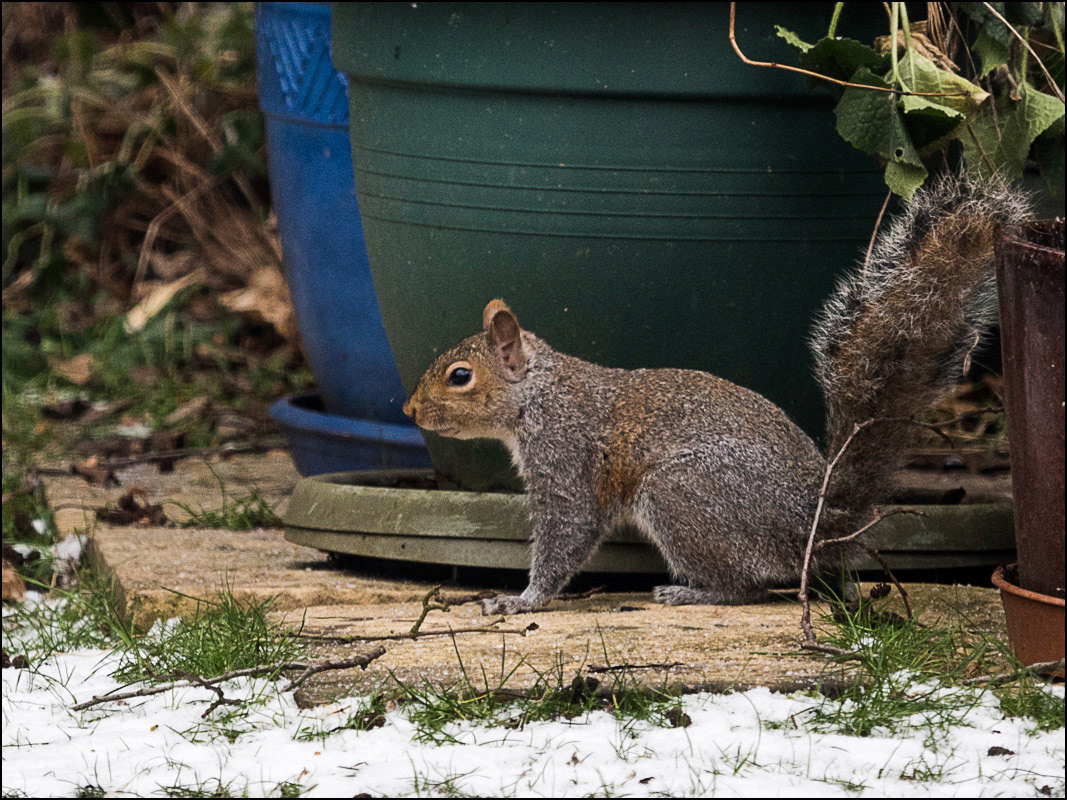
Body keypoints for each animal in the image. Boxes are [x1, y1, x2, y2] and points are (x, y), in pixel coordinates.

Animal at [402, 173, 1030, 615]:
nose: (409, 409)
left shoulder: (567, 459)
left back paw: (692, 592)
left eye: (460, 376)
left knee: (746, 587)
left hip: (682, 495)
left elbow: (568, 533)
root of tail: (816, 522)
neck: (540, 395)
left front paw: (521, 600)